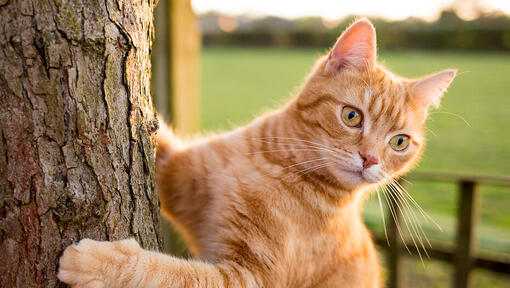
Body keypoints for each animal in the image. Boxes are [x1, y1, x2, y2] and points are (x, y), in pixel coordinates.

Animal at [57, 19, 456, 286]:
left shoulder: (250, 278)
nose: (370, 159)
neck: (271, 165)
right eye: (351, 116)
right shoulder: (180, 174)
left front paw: (100, 265)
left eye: (399, 142)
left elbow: (169, 273)